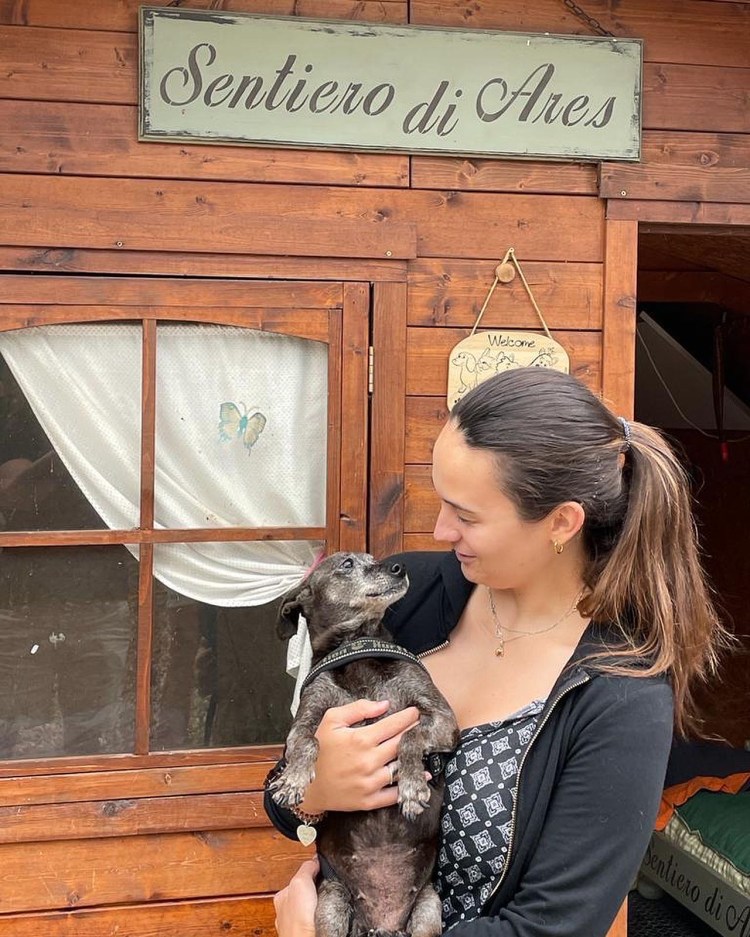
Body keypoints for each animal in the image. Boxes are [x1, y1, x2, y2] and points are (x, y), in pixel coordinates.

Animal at [268, 551, 459, 937]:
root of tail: (382, 927)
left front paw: (413, 786)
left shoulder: (443, 719)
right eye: (347, 564)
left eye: (374, 559)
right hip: (331, 905)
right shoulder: (306, 718)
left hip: (428, 911)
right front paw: (294, 779)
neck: (357, 649)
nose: (399, 568)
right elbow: (306, 743)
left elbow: (409, 736)